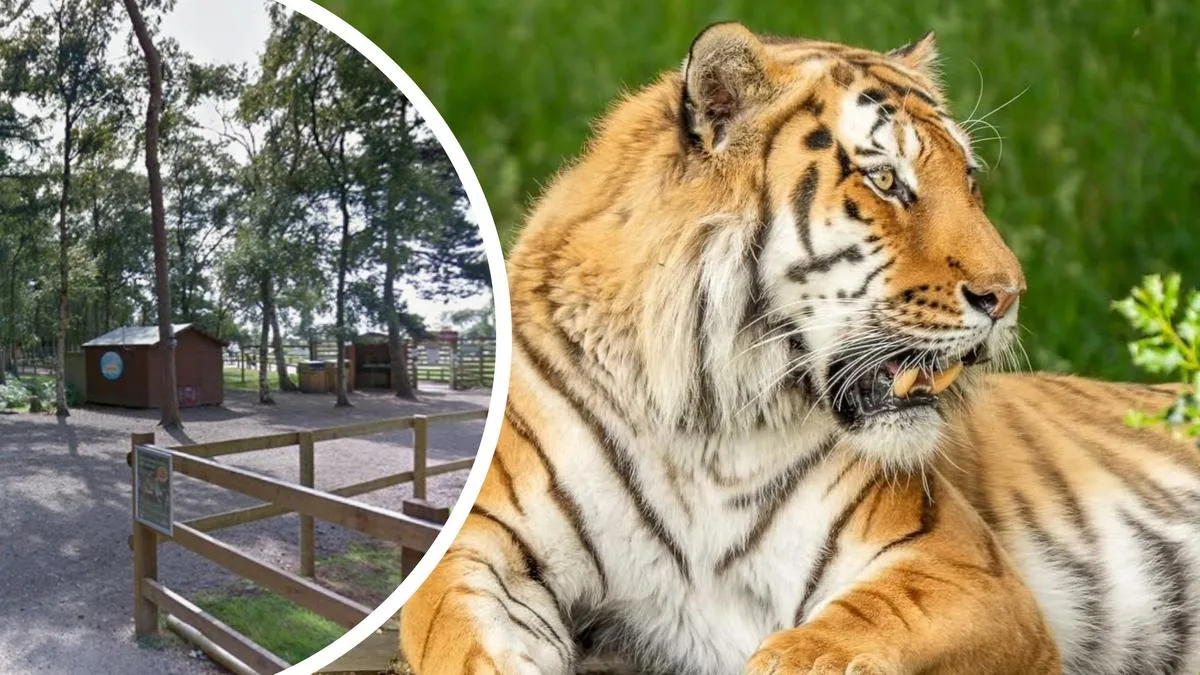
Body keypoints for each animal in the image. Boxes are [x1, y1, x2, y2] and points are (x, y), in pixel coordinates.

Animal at [399, 22, 1200, 675]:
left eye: (968, 180)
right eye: (886, 180)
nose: (1008, 295)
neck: (701, 421)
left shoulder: (960, 568)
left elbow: (829, 642)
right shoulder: (483, 539)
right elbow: (451, 629)